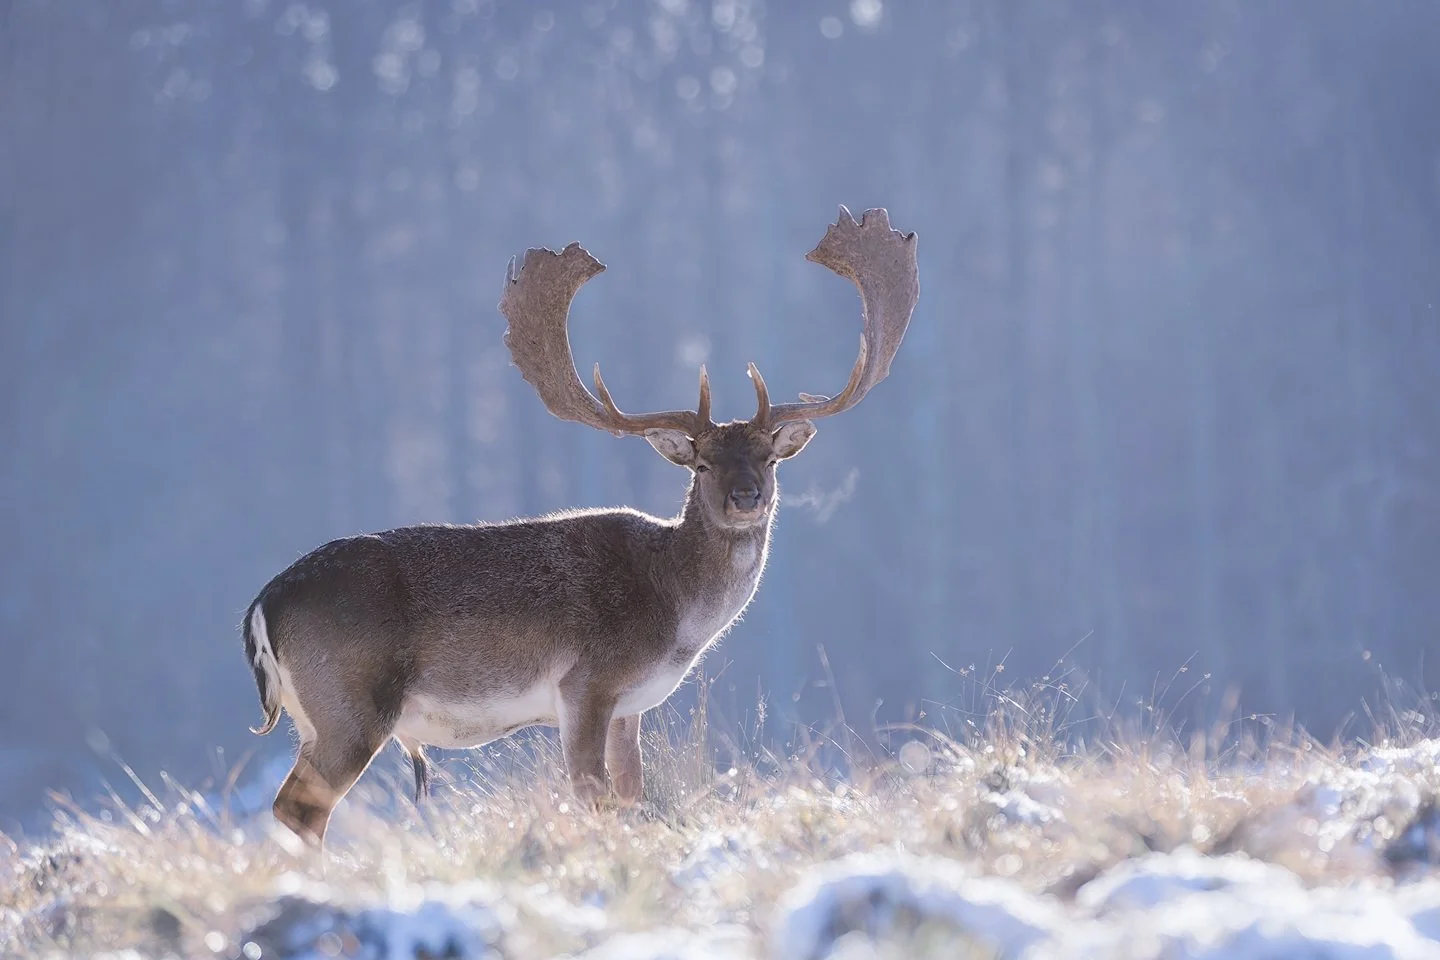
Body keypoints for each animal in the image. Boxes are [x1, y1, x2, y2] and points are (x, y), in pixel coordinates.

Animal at [241, 206, 918, 845]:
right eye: (701, 462)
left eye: (770, 458)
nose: (746, 496)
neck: (676, 615)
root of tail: (262, 605)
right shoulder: (585, 684)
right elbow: (594, 797)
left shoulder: (629, 708)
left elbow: (632, 796)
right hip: (350, 703)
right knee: (298, 807)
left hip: (317, 716)